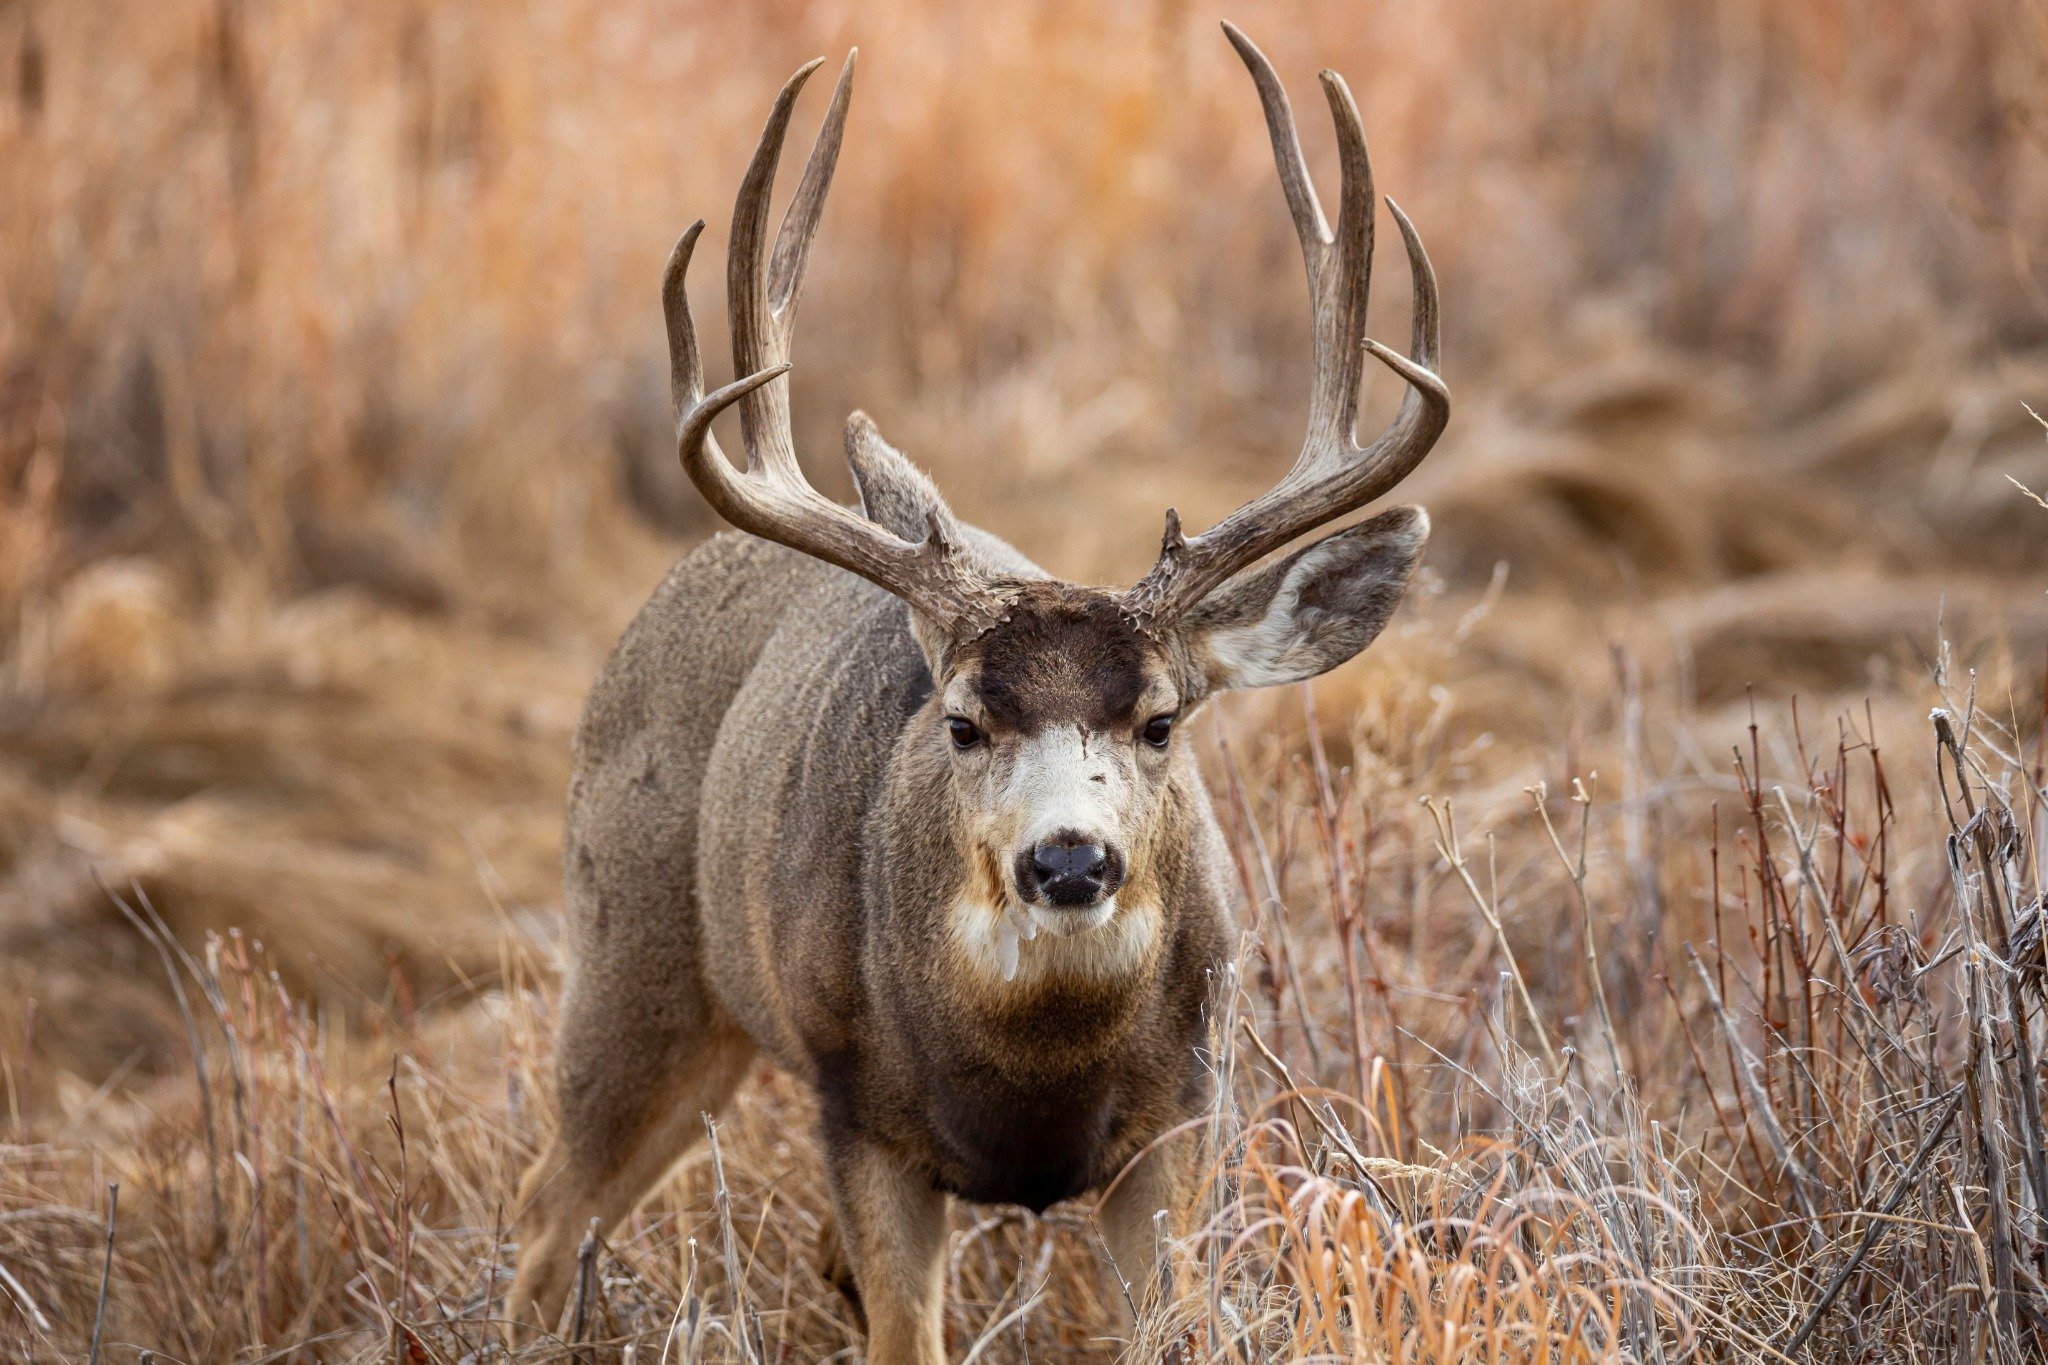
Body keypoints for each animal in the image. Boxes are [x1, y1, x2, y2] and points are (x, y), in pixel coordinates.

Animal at [508, 22, 1447, 1360]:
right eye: (958, 722)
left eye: (1161, 721)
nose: (1067, 860)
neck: (1032, 1080)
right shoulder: (857, 1116)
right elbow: (904, 1334)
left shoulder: (1185, 1117)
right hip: (629, 951)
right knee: (548, 1213)